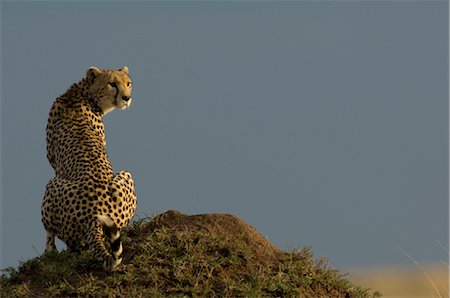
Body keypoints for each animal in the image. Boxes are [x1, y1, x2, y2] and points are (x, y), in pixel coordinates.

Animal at [42, 66, 137, 272]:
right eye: (112, 84)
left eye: (128, 83)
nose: (126, 98)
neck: (82, 92)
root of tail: (92, 217)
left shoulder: (55, 166)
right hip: (125, 176)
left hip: (52, 184)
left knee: (55, 238)